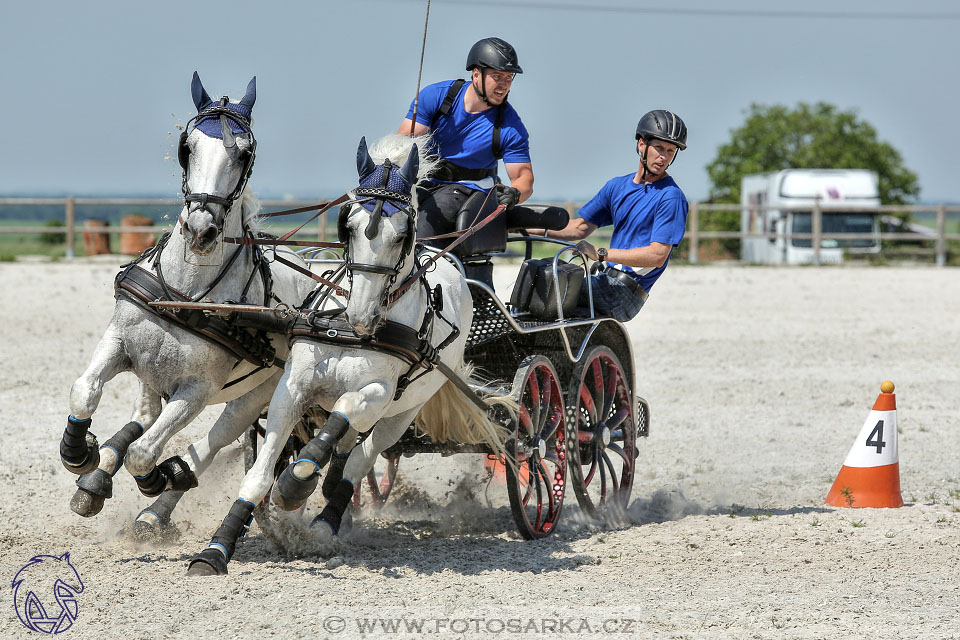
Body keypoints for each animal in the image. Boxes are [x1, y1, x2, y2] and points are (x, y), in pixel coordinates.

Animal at [64, 72, 318, 536]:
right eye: (187, 146)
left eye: (246, 152)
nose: (201, 230)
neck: (185, 291)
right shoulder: (119, 343)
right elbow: (85, 392)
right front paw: (79, 453)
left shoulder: (198, 389)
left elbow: (144, 455)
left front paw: (159, 476)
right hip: (153, 369)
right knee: (144, 415)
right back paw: (98, 477)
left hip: (258, 395)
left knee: (212, 442)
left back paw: (161, 497)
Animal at [190, 135, 512, 576]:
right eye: (350, 226)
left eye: (403, 234)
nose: (362, 315)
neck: (347, 327)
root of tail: (450, 262)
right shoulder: (293, 387)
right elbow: (260, 472)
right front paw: (216, 549)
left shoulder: (378, 392)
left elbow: (340, 423)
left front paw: (295, 483)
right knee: (348, 450)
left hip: (404, 411)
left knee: (361, 456)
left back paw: (326, 519)